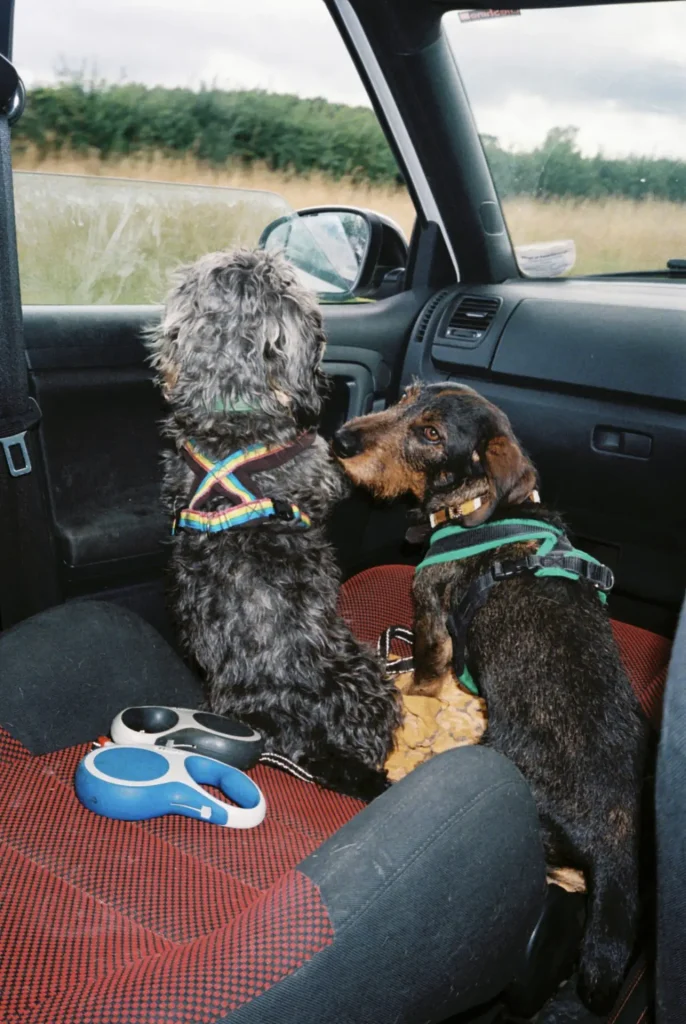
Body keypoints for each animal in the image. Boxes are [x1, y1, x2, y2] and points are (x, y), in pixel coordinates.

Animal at [335, 382, 651, 1015]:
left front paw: (410, 691)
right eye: (407, 397)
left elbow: (426, 674)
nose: (341, 440)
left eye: (431, 434)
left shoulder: (429, 613)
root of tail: (615, 827)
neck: (480, 507)